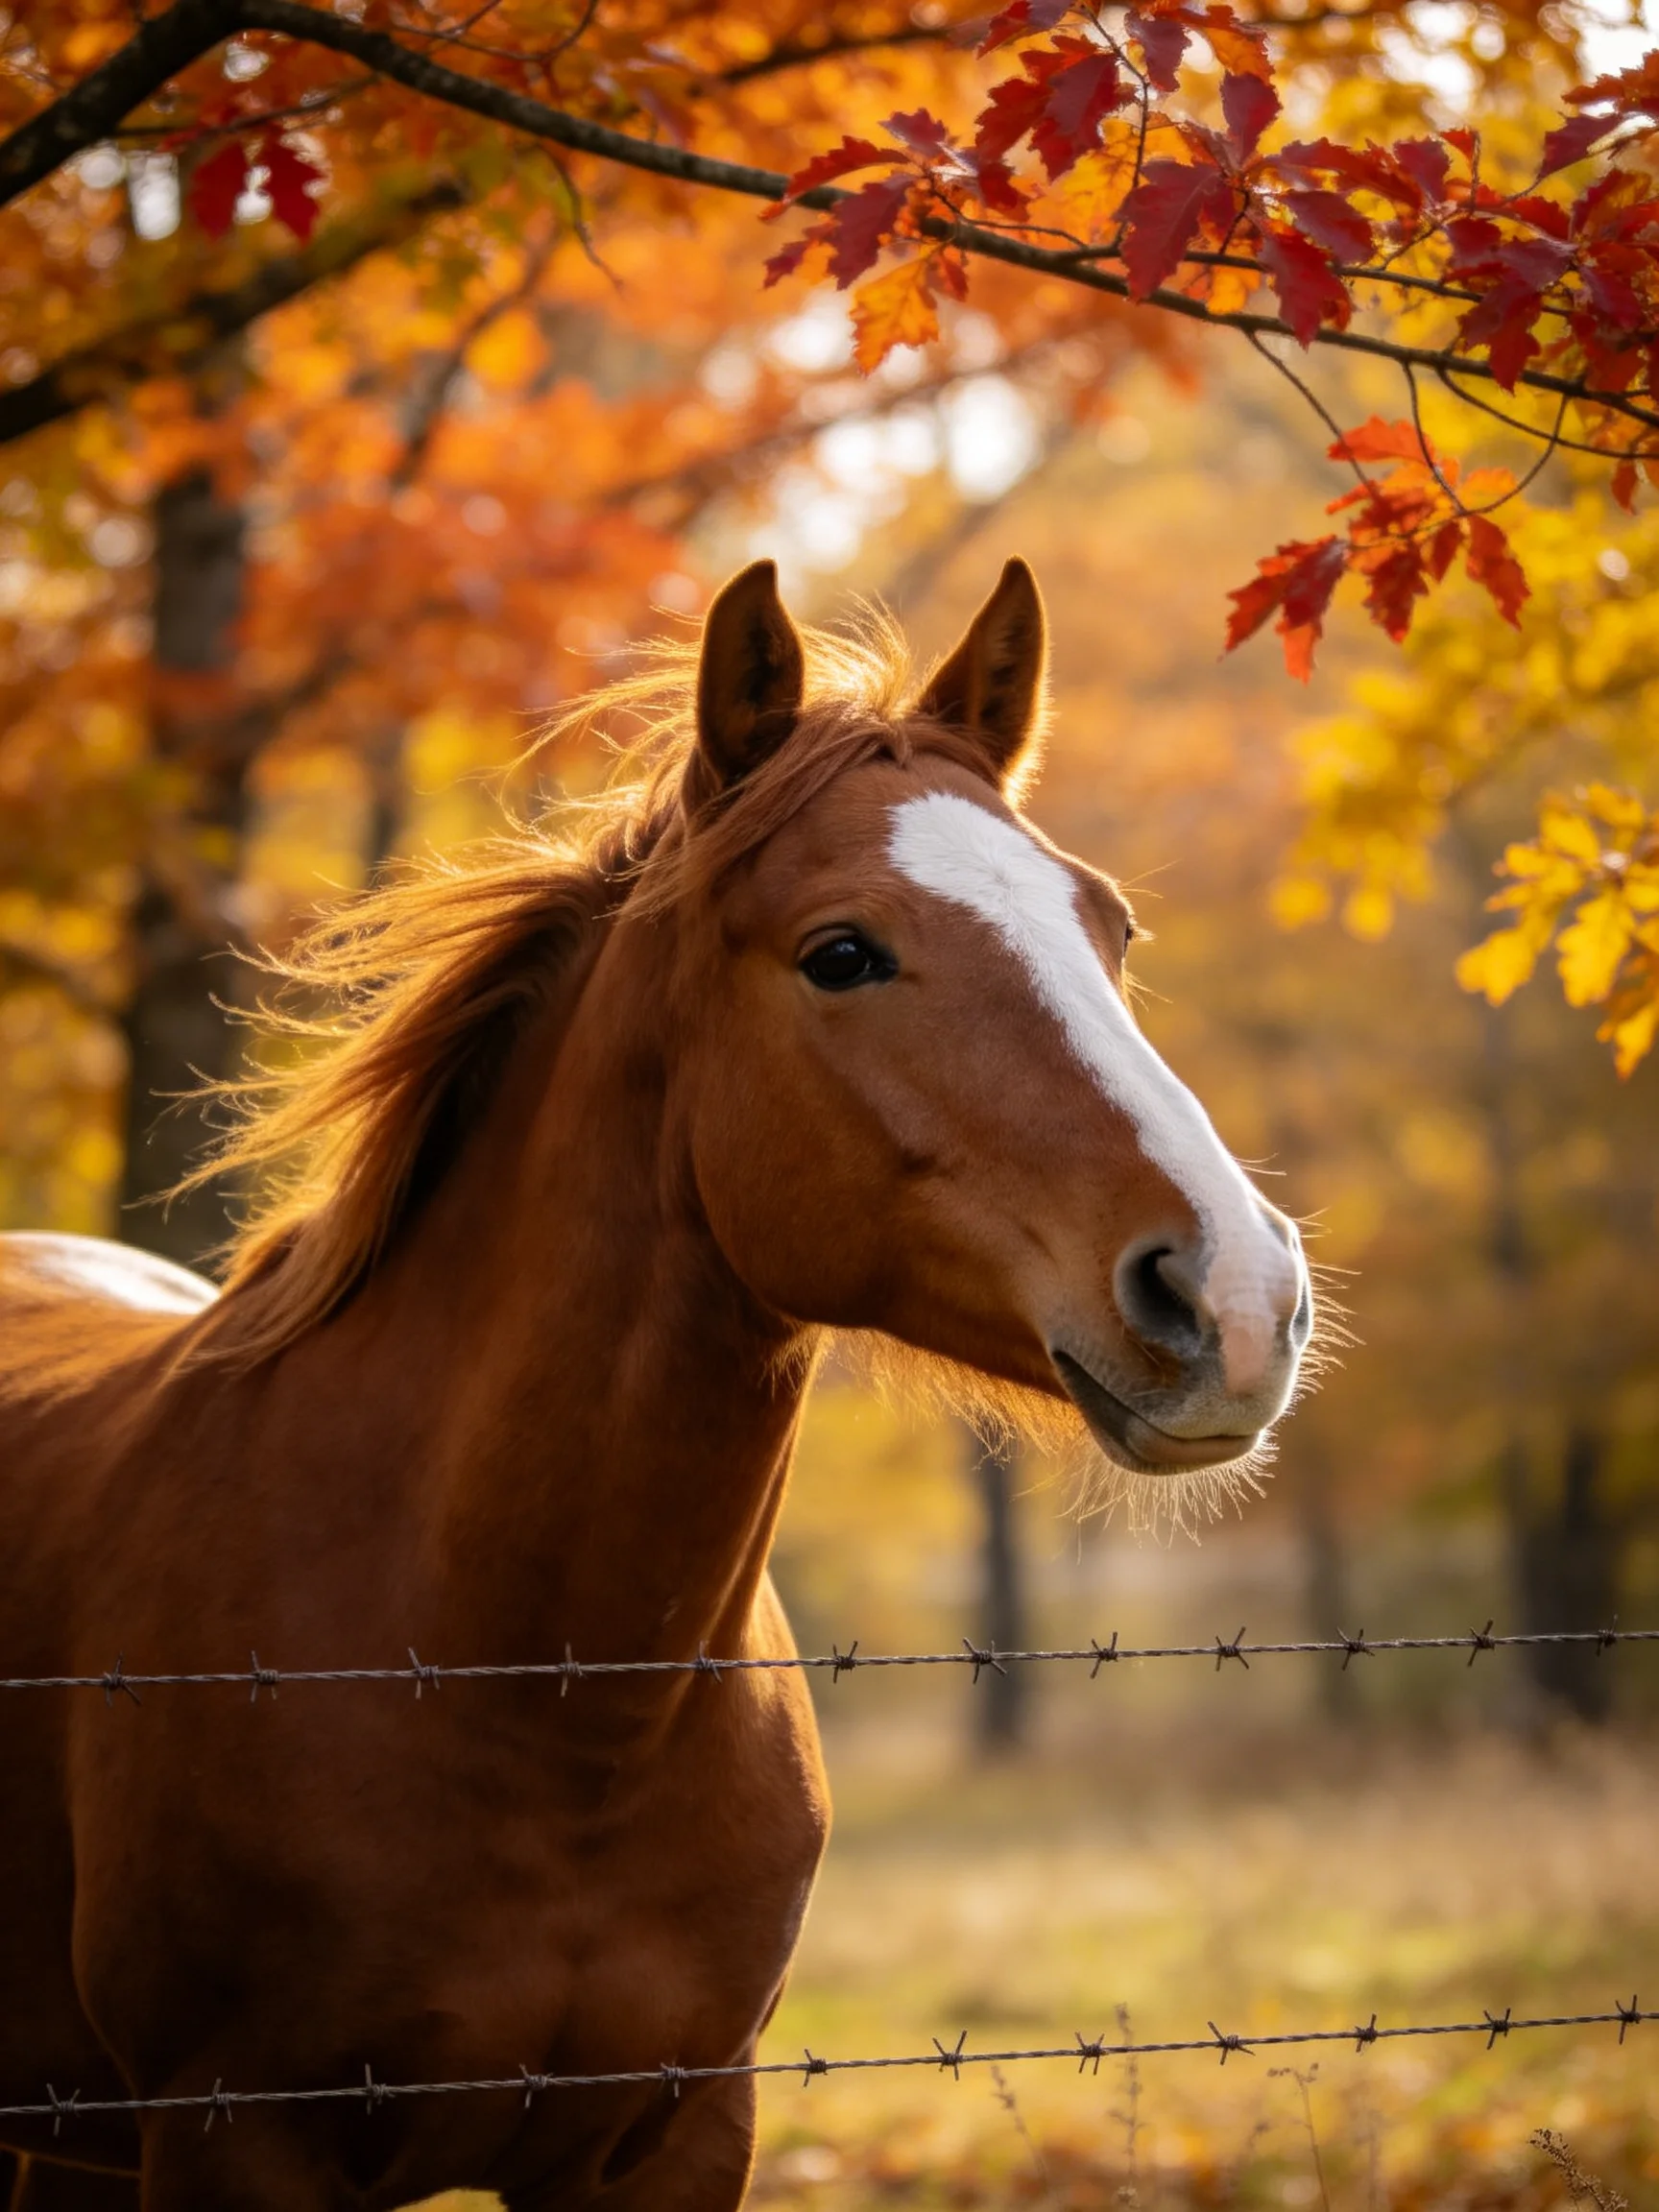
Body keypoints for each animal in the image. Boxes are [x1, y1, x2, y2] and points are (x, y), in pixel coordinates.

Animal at [0, 557, 1312, 2212]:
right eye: (841, 951)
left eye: (1113, 927)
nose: (1238, 1298)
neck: (536, 1698)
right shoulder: (236, 2140)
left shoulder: (678, 2134)